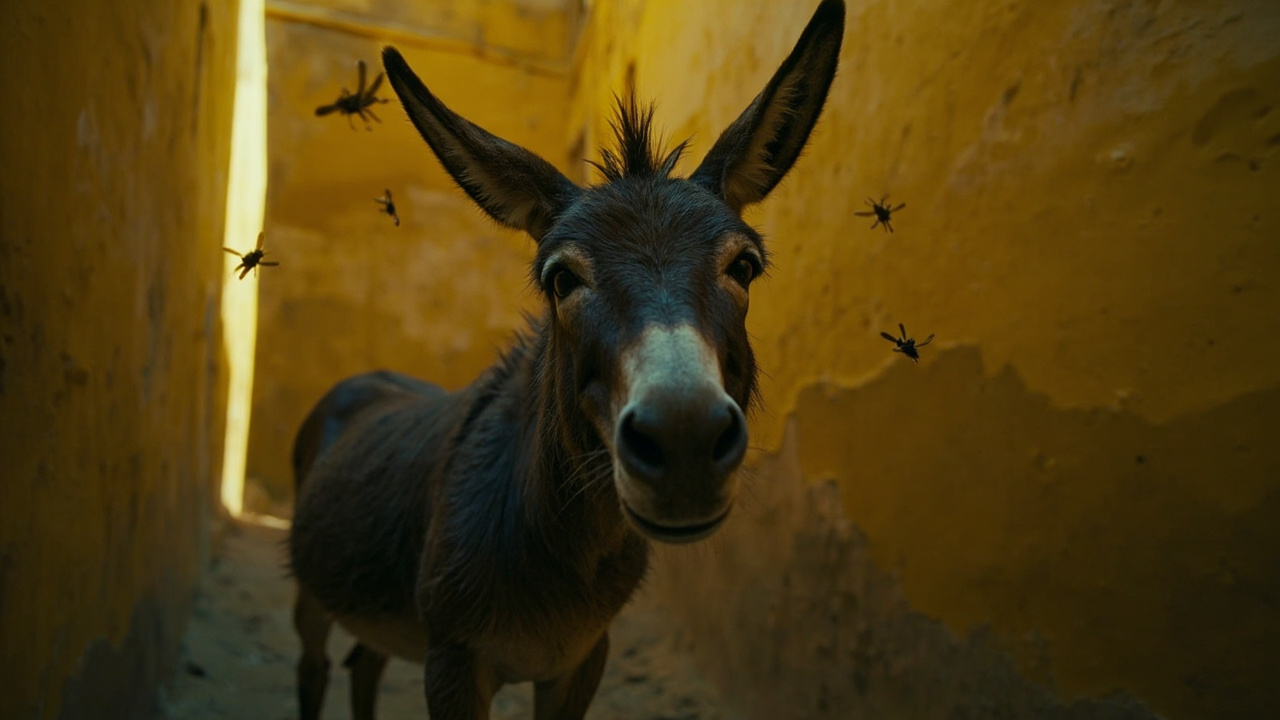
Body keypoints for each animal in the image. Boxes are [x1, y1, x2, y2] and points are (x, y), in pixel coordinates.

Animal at [287, 2, 845, 717]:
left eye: (744, 266)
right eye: (561, 279)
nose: (684, 441)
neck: (566, 549)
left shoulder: (581, 659)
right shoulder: (453, 660)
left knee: (364, 665)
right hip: (313, 590)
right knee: (314, 666)